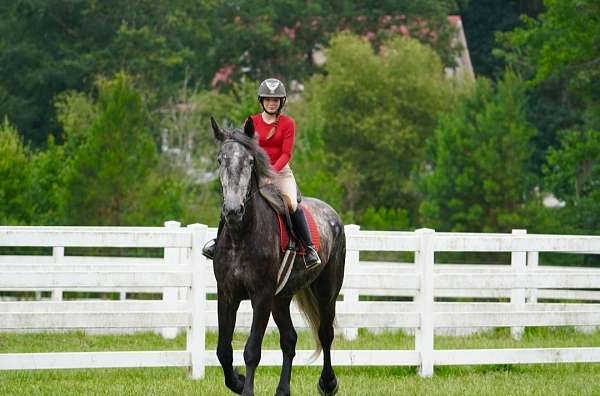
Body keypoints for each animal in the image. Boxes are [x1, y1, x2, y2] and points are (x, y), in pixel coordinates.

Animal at [209, 117, 344, 396]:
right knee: (289, 339)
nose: (233, 210)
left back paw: (328, 383)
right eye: (220, 160)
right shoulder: (227, 294)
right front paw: (238, 382)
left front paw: (246, 389)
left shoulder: (261, 296)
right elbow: (223, 350)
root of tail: (332, 213)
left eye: (250, 161)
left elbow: (252, 350)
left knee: (325, 334)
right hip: (281, 299)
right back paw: (283, 390)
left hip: (326, 292)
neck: (241, 236)